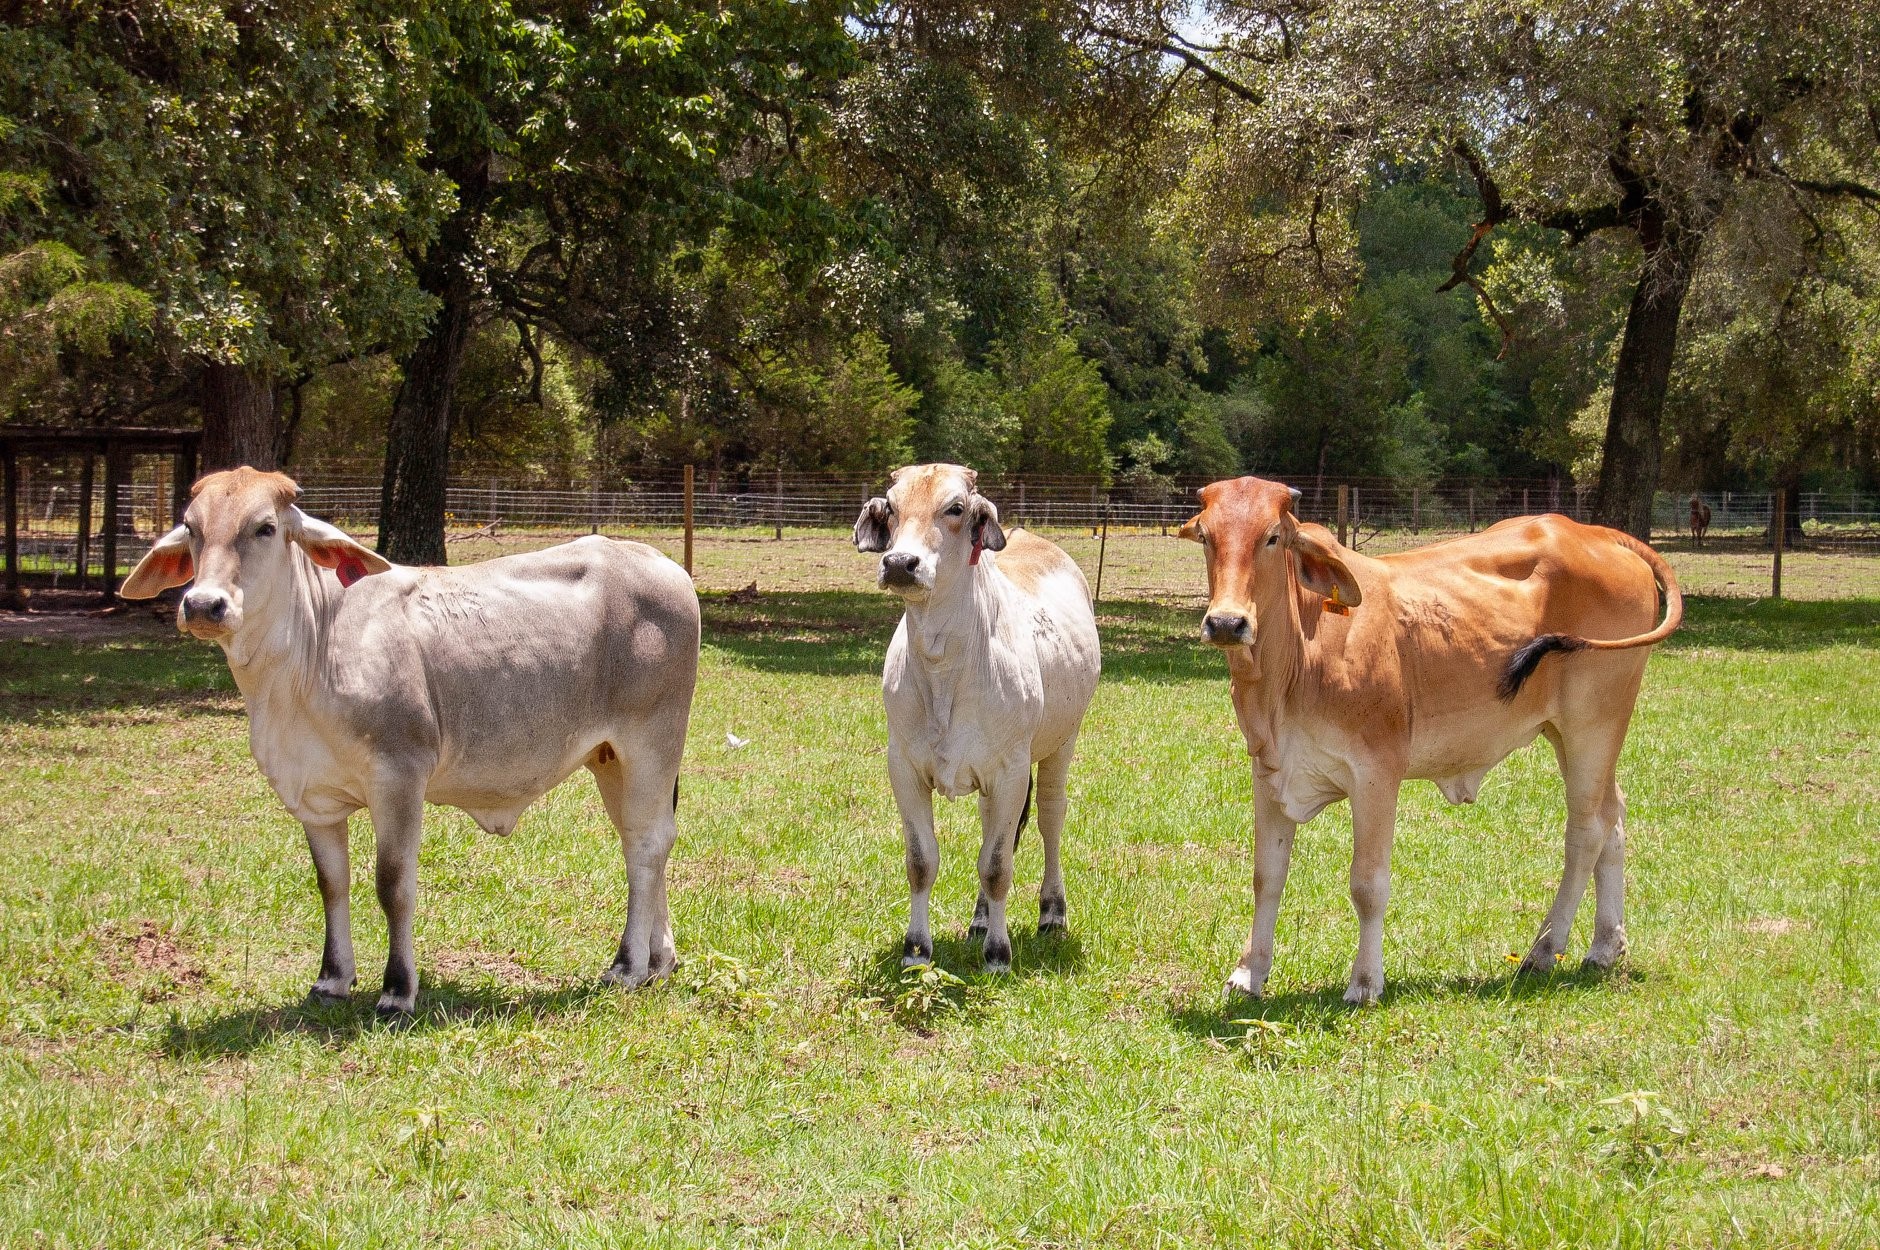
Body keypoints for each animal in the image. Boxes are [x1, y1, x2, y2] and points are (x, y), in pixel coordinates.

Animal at [120, 468, 700, 1015]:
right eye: (191, 529)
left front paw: (397, 991)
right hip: (609, 758)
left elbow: (393, 883)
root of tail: (664, 565)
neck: (301, 665)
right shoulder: (313, 797)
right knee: (641, 843)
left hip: (651, 743)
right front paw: (332, 978)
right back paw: (661, 958)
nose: (203, 605)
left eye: (264, 527)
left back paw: (628, 965)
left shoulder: (399, 775)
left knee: (649, 843)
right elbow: (332, 882)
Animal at [852, 464, 1101, 972]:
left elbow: (997, 866)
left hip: (1061, 744)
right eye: (892, 506)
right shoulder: (904, 768)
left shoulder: (1009, 772)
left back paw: (1051, 912)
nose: (900, 563)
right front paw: (916, 950)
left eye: (955, 507)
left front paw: (998, 955)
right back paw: (982, 920)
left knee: (1049, 818)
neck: (943, 665)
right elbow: (922, 860)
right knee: (994, 831)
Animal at [1181, 476, 1681, 1004]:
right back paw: (1605, 946)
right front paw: (1249, 973)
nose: (1227, 623)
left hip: (1593, 724)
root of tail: (1599, 535)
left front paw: (1365, 982)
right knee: (1613, 815)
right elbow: (1267, 877)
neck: (1300, 657)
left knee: (1586, 830)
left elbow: (1368, 884)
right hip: (1569, 732)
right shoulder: (1270, 771)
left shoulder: (1377, 773)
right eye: (1206, 537)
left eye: (1273, 537)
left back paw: (1544, 950)